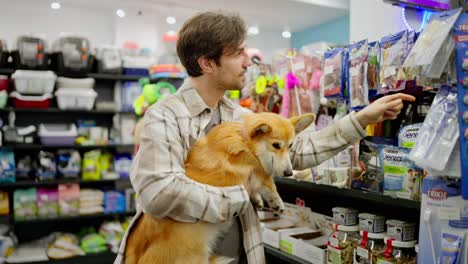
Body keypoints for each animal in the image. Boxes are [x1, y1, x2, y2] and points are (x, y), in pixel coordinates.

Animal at [124, 113, 314, 264]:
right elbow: (268, 182)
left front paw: (258, 200)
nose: (289, 173)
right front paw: (276, 202)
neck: (245, 140)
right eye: (276, 145)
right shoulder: (255, 170)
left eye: (290, 146)